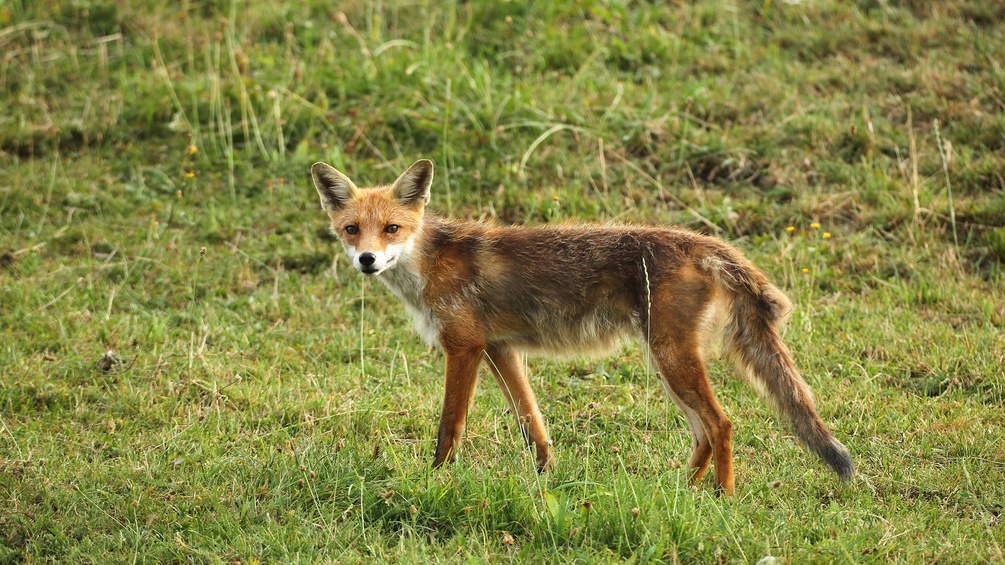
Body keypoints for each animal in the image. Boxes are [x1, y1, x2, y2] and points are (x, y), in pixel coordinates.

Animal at [310, 158, 854, 495]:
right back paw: (683, 491)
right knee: (703, 431)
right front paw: (546, 478)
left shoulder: (463, 347)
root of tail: (702, 242)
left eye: (392, 229)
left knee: (721, 423)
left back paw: (723, 497)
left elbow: (450, 426)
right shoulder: (500, 349)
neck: (429, 264)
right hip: (666, 360)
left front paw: (437, 479)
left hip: (670, 358)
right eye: (352, 229)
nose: (366, 260)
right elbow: (532, 422)